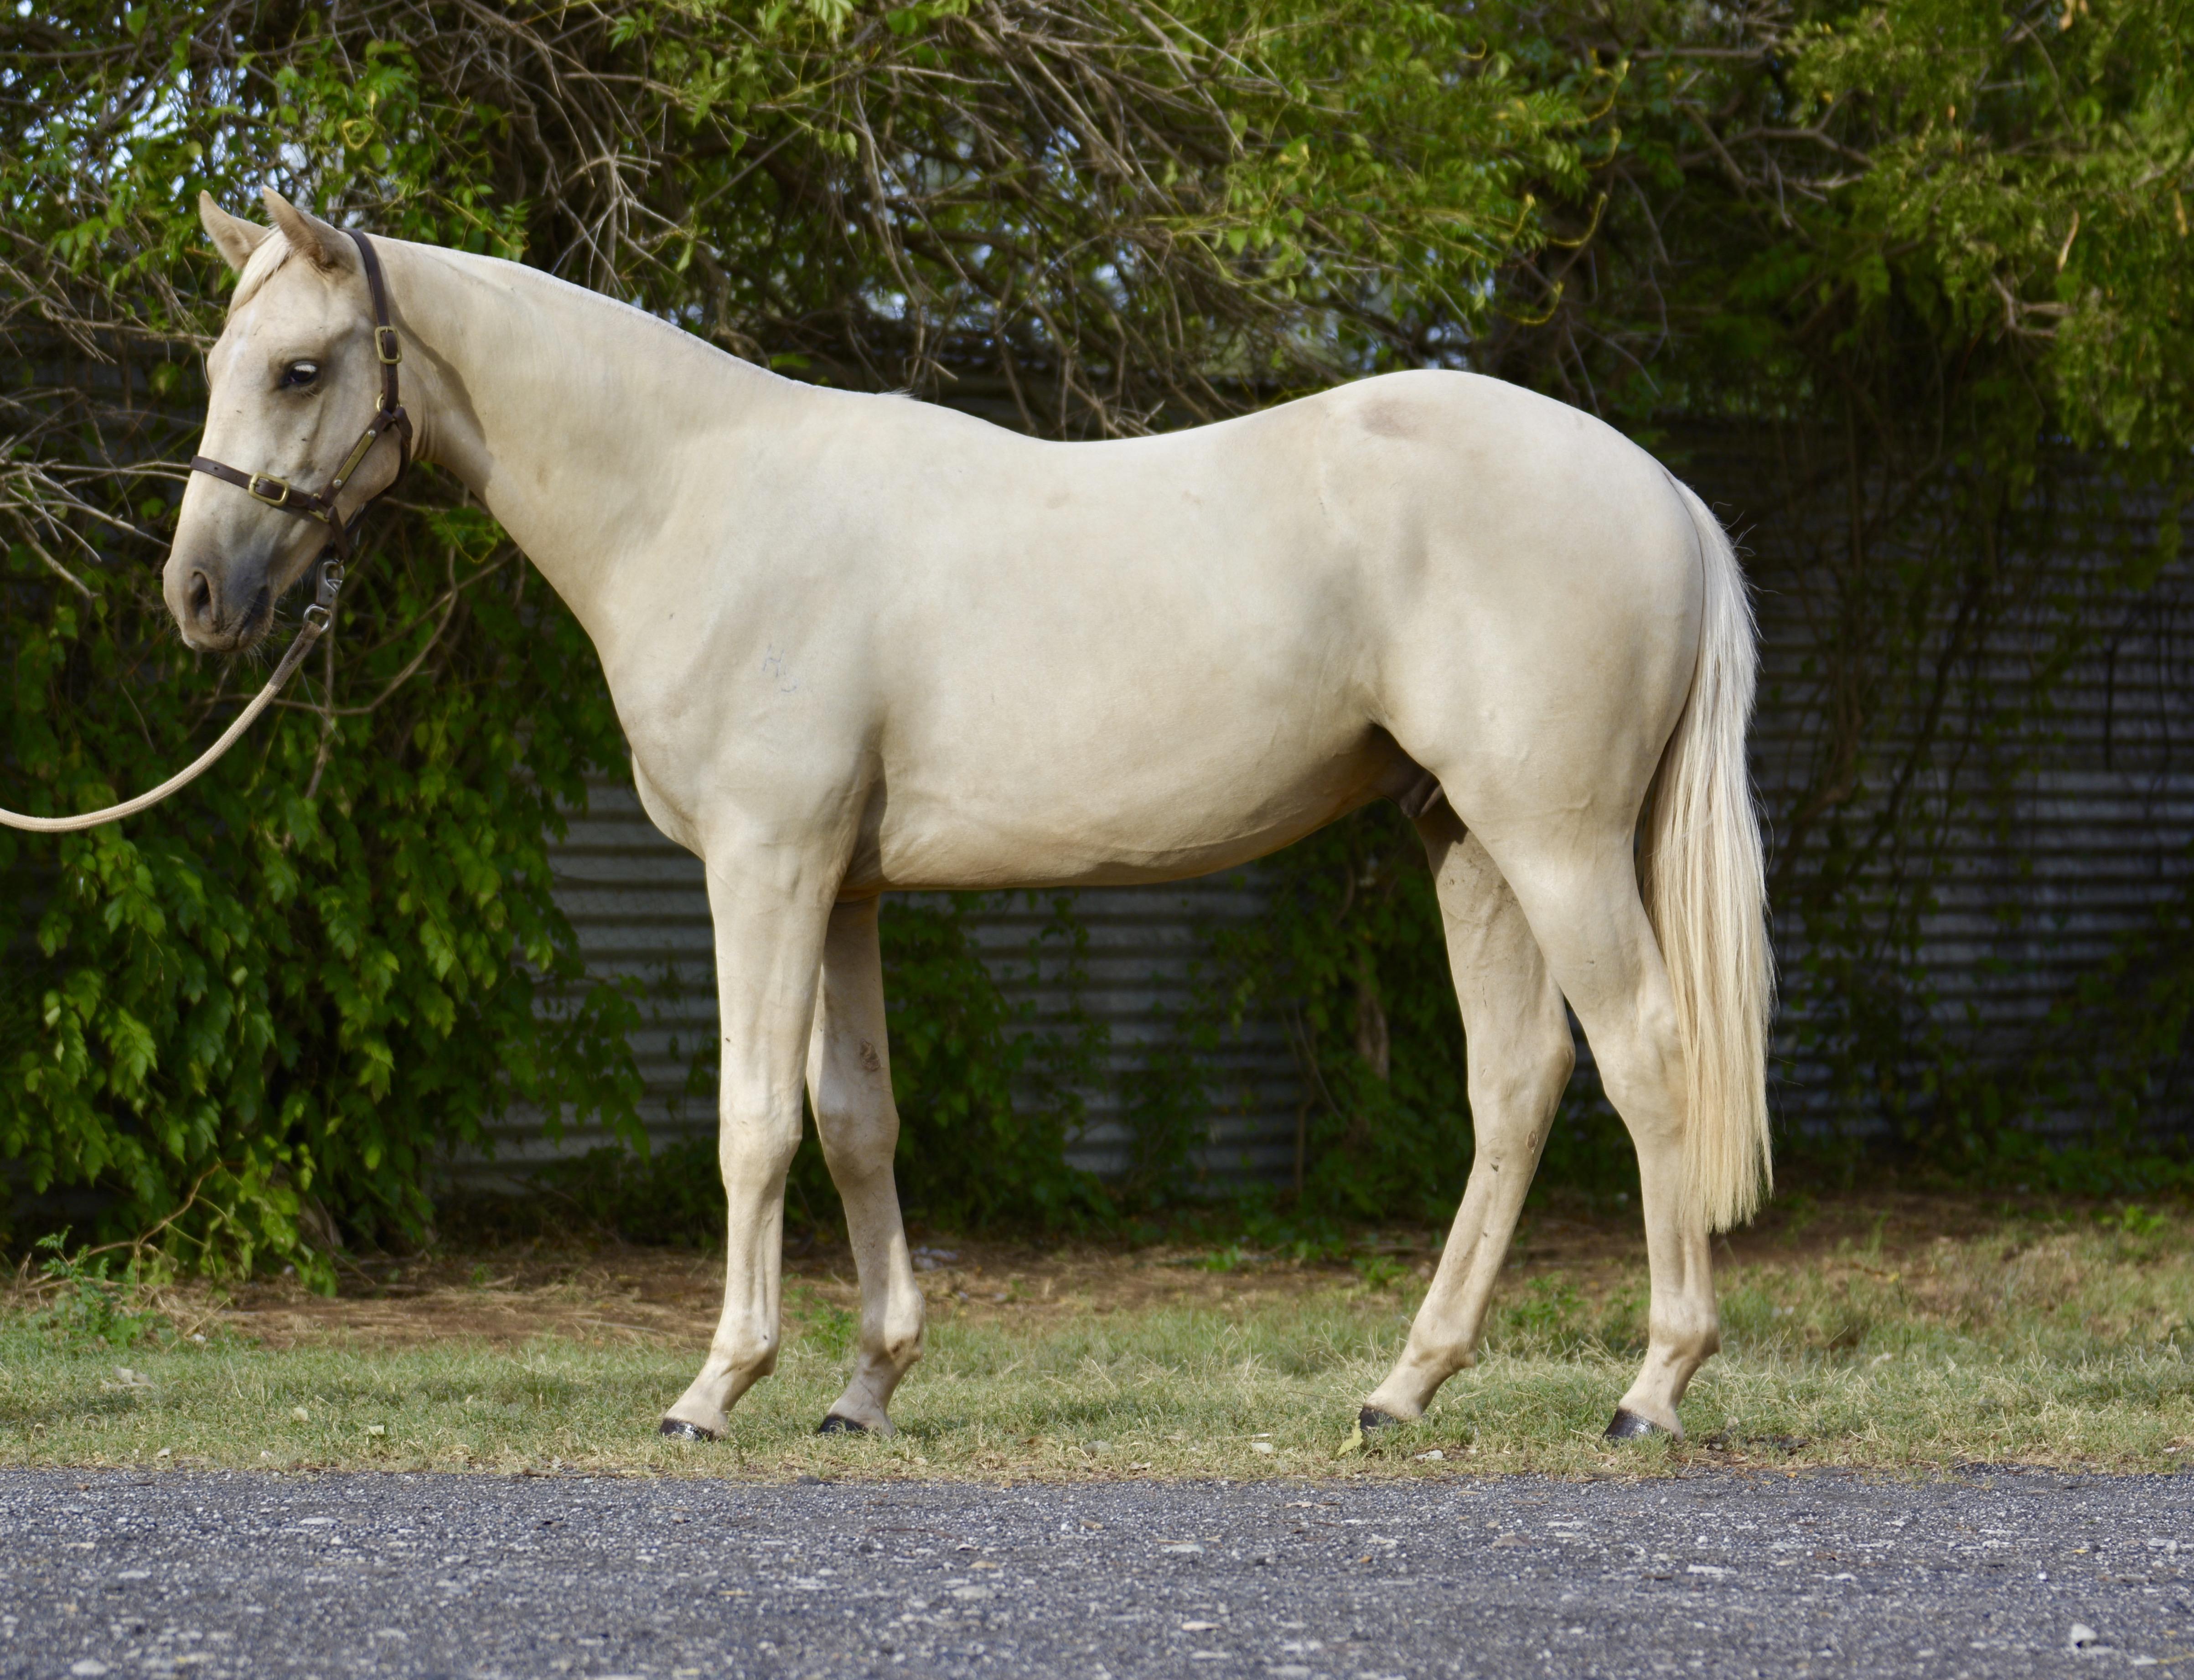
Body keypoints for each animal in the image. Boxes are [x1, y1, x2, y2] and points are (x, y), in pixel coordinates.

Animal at [168, 189, 1772, 1445]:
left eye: (300, 368)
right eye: (218, 362)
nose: (197, 595)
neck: (697, 499)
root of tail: (1663, 491)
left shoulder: (765, 867)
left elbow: (753, 1123)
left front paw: (714, 1386)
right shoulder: (845, 887)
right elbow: (855, 1119)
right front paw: (863, 1386)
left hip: (1554, 843)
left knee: (1646, 1054)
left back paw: (1652, 1385)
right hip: (1466, 842)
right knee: (1514, 1084)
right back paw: (1402, 1386)